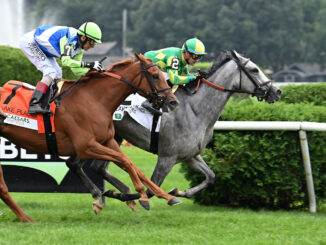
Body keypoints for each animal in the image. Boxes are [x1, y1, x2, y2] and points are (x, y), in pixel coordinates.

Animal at [0, 53, 181, 222]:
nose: (173, 102)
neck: (94, 100)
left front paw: (166, 196)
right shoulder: (86, 146)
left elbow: (132, 166)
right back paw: (25, 218)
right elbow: (126, 162)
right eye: (155, 75)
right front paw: (141, 194)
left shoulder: (107, 141)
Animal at [65, 50, 280, 211]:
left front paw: (179, 192)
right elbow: (152, 188)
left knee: (93, 167)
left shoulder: (190, 155)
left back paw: (115, 191)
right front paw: (140, 197)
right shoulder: (167, 157)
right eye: (254, 69)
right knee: (78, 164)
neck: (195, 110)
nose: (277, 91)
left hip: (110, 138)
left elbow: (211, 177)